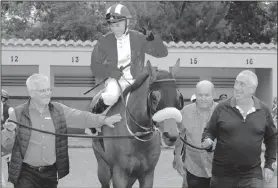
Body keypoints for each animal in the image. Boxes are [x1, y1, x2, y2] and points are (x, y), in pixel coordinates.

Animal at [90, 59, 184, 187]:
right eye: (154, 97)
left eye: (179, 97)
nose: (171, 135)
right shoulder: (119, 174)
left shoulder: (147, 174)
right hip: (102, 165)